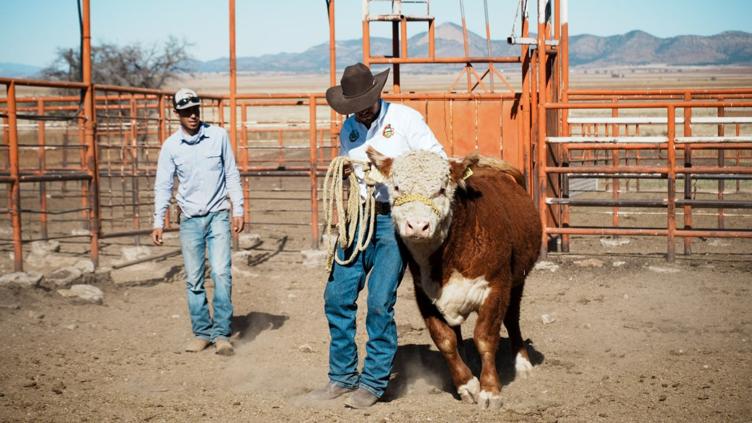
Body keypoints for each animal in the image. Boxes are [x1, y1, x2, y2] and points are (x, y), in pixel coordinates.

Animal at [366, 146, 542, 409]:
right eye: (397, 188)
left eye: (441, 189)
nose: (417, 226)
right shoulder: (425, 293)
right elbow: (445, 340)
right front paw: (466, 384)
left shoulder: (496, 286)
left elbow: (485, 337)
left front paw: (490, 391)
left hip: (518, 280)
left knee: (512, 319)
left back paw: (522, 364)